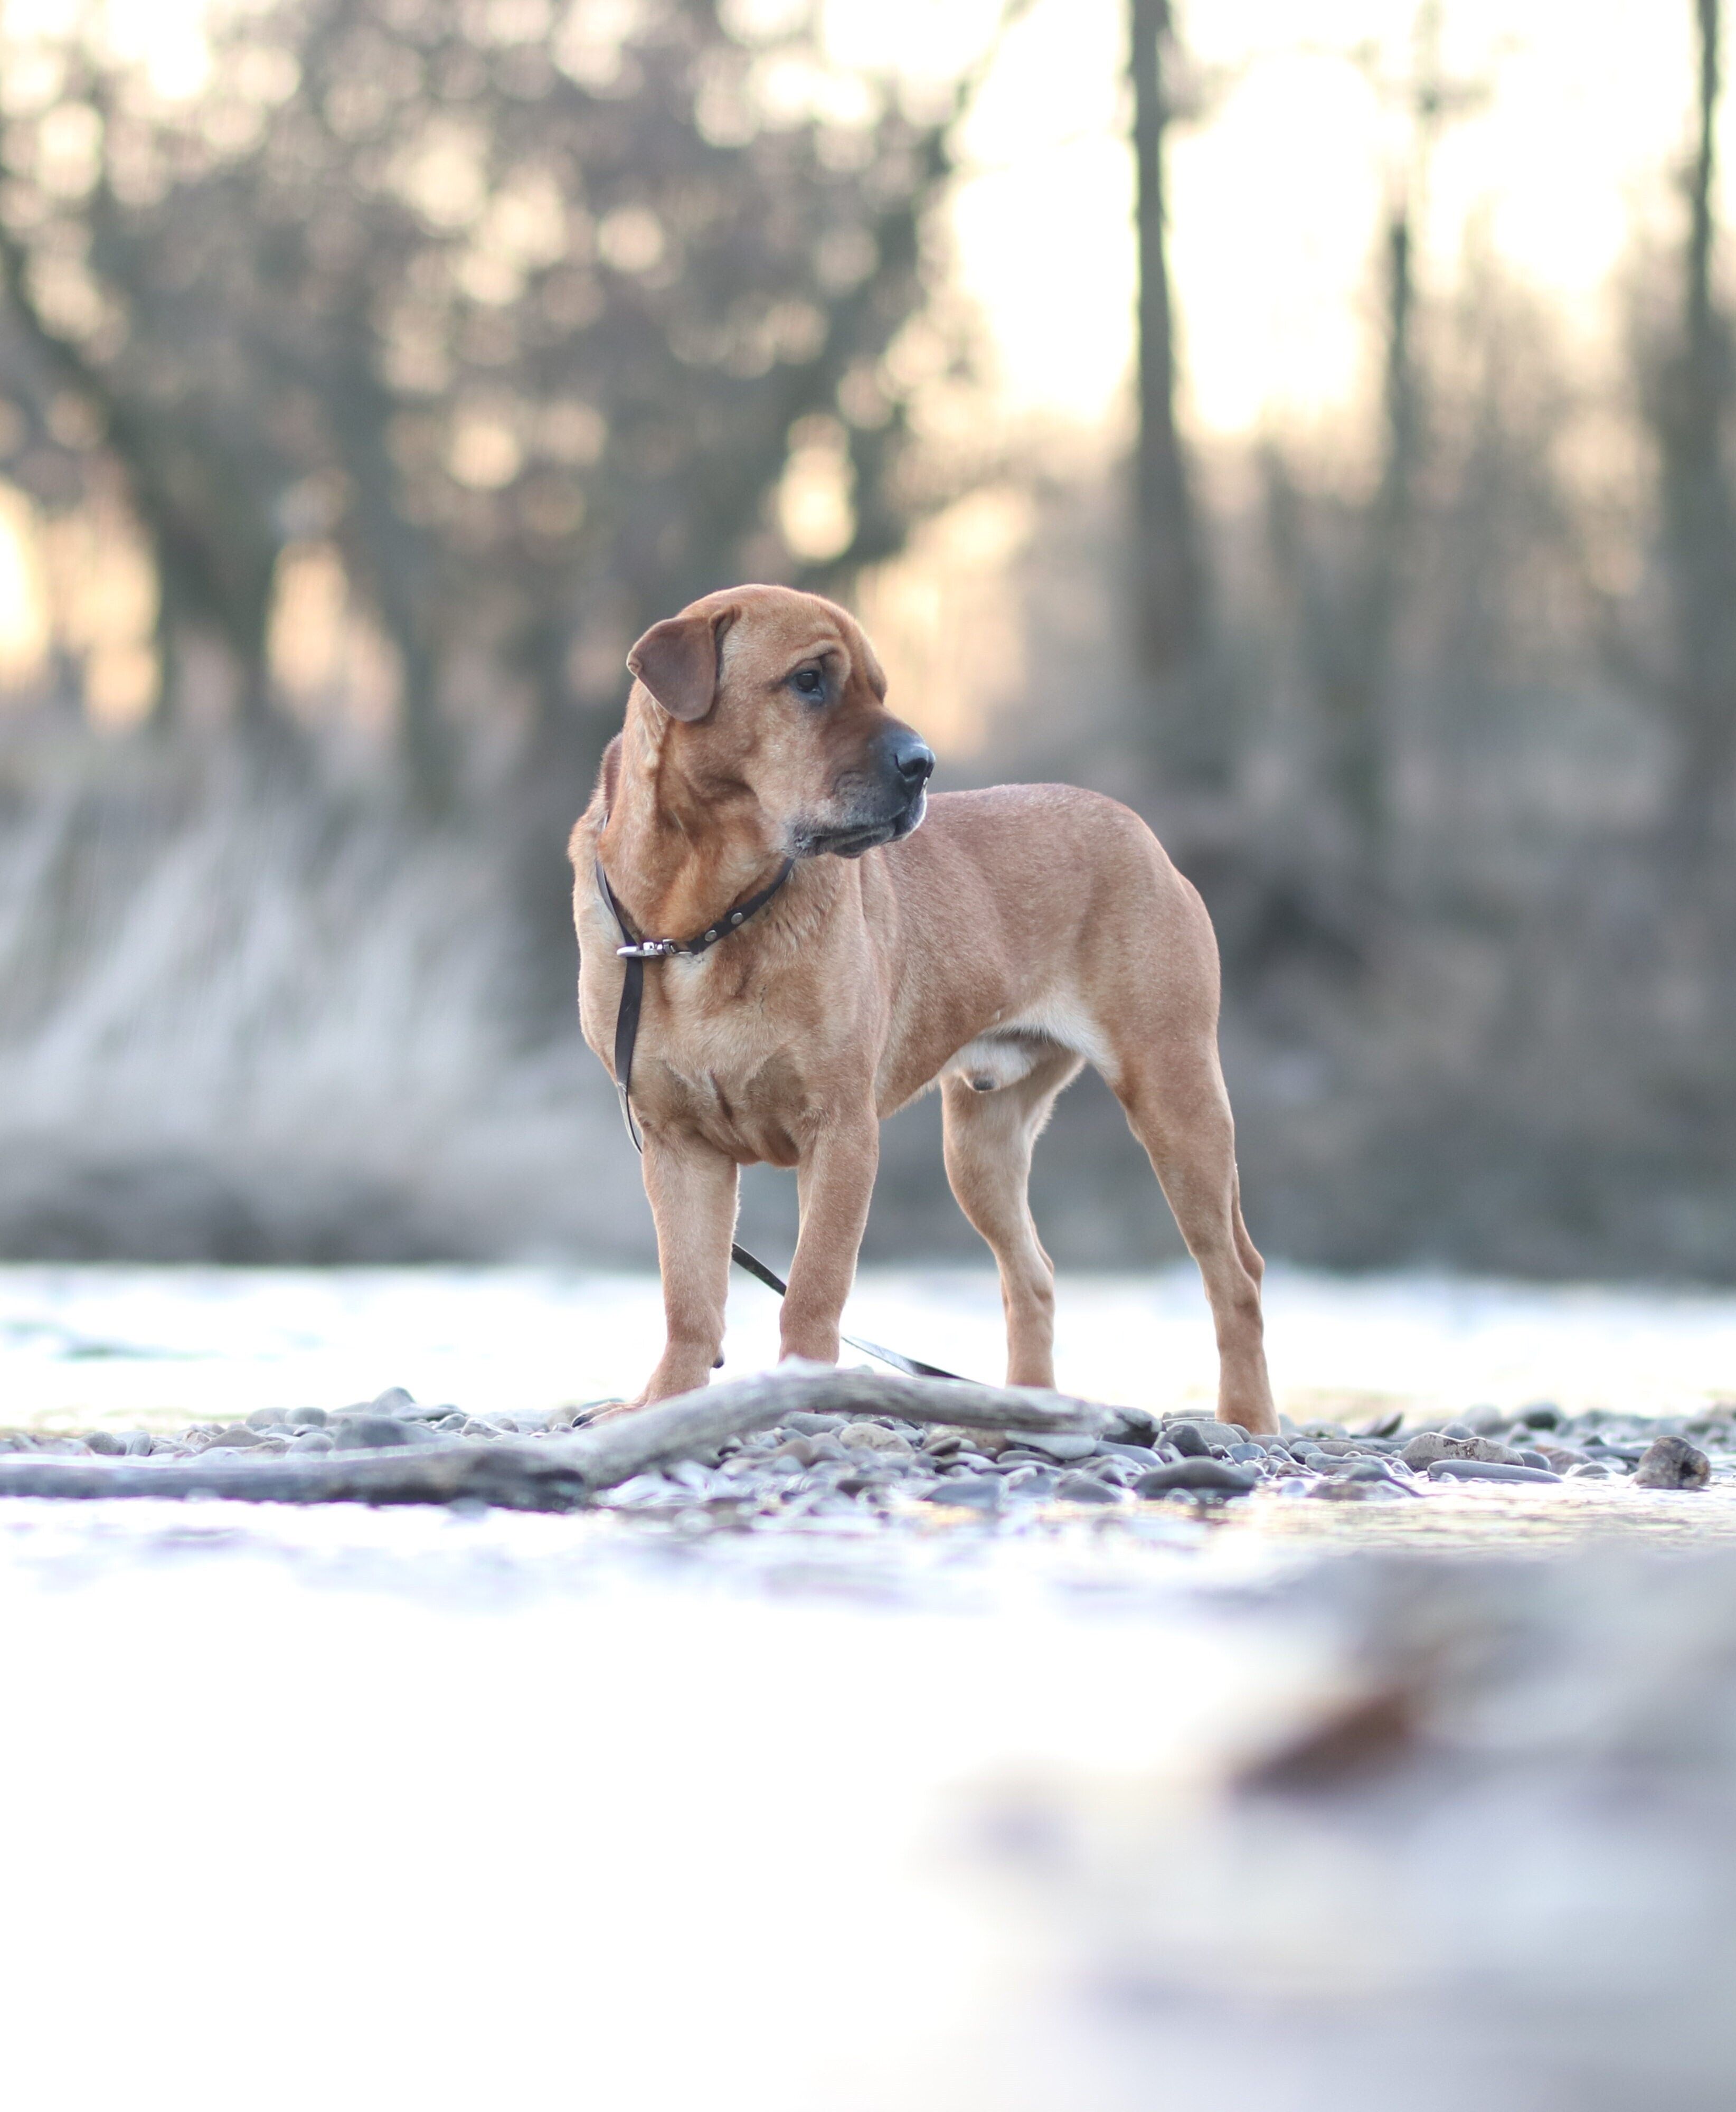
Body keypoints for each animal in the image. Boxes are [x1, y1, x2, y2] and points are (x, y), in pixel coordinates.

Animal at [570, 587, 1276, 1428]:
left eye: (879, 688)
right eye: (808, 681)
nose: (922, 764)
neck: (700, 915)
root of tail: (1142, 832)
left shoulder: (840, 1131)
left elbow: (812, 1286)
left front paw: (803, 1392)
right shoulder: (677, 1146)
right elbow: (691, 1298)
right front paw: (669, 1403)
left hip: (1176, 1101)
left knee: (1235, 1276)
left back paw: (1247, 1420)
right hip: (981, 1145)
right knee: (1032, 1276)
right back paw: (1026, 1409)